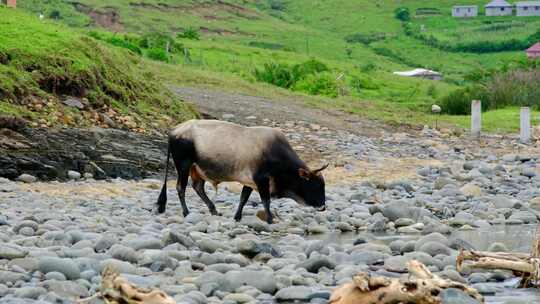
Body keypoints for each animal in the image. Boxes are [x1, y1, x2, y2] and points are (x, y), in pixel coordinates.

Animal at [154, 119, 326, 223]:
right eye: (316, 185)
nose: (323, 207)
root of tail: (175, 130)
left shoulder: (249, 181)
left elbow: (243, 198)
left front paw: (237, 217)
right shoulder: (261, 179)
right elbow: (266, 200)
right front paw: (270, 219)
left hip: (196, 169)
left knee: (198, 187)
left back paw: (213, 210)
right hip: (183, 165)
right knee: (180, 188)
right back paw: (186, 212)